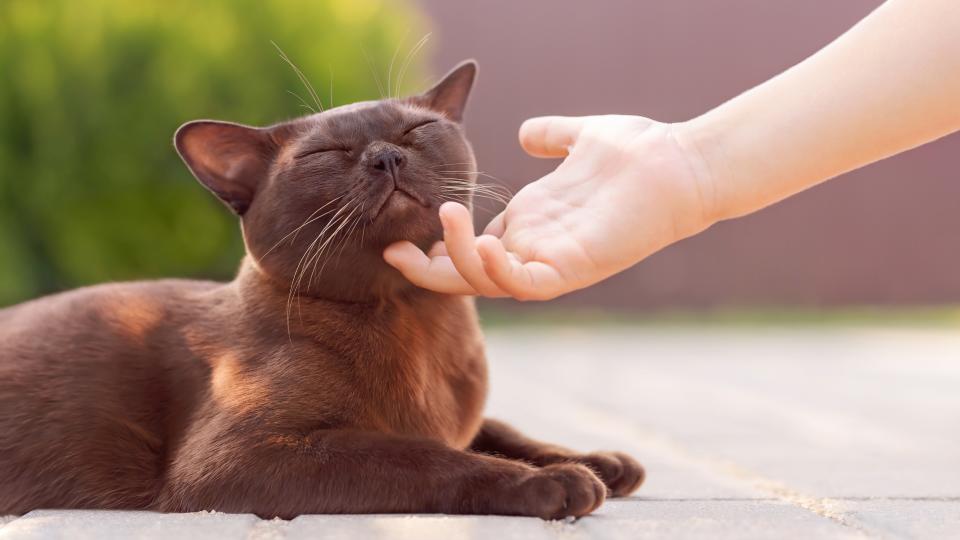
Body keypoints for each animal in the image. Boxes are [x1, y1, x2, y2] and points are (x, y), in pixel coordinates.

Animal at [1, 60, 644, 520]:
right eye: (326, 153)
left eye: (416, 129)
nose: (386, 157)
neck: (413, 316)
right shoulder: (242, 457)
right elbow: (426, 455)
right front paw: (559, 483)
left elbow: (500, 431)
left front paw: (601, 463)